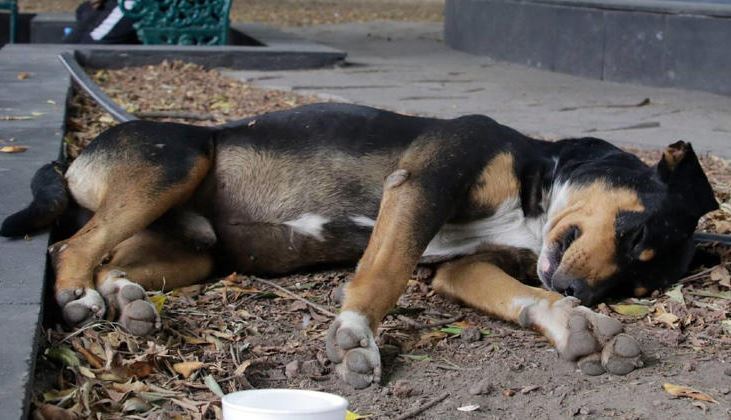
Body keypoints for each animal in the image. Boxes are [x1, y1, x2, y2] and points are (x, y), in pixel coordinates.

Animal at [0, 101, 716, 388]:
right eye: (634, 231)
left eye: (632, 286)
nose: (578, 291)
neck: (534, 195)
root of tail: (75, 160)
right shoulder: (422, 184)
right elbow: (386, 268)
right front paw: (354, 333)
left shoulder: (464, 270)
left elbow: (522, 295)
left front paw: (578, 327)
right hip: (177, 161)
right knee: (70, 250)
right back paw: (77, 293)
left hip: (193, 247)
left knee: (112, 260)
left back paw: (125, 299)